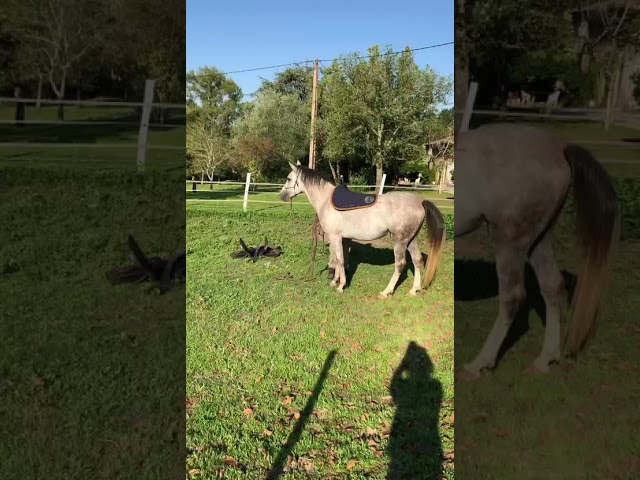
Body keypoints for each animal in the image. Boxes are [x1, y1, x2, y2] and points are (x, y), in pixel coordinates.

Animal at [279, 162, 446, 296]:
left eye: (288, 178)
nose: (282, 196)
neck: (326, 200)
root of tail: (420, 201)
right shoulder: (343, 239)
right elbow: (340, 259)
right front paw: (335, 281)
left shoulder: (335, 237)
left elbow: (339, 259)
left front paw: (340, 286)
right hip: (411, 240)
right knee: (417, 261)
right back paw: (414, 290)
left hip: (400, 241)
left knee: (400, 264)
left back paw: (386, 291)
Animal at [455, 123, 620, 376]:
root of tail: (559, 147)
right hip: (540, 240)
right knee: (553, 287)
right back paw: (545, 359)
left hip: (510, 242)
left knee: (513, 297)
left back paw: (479, 363)